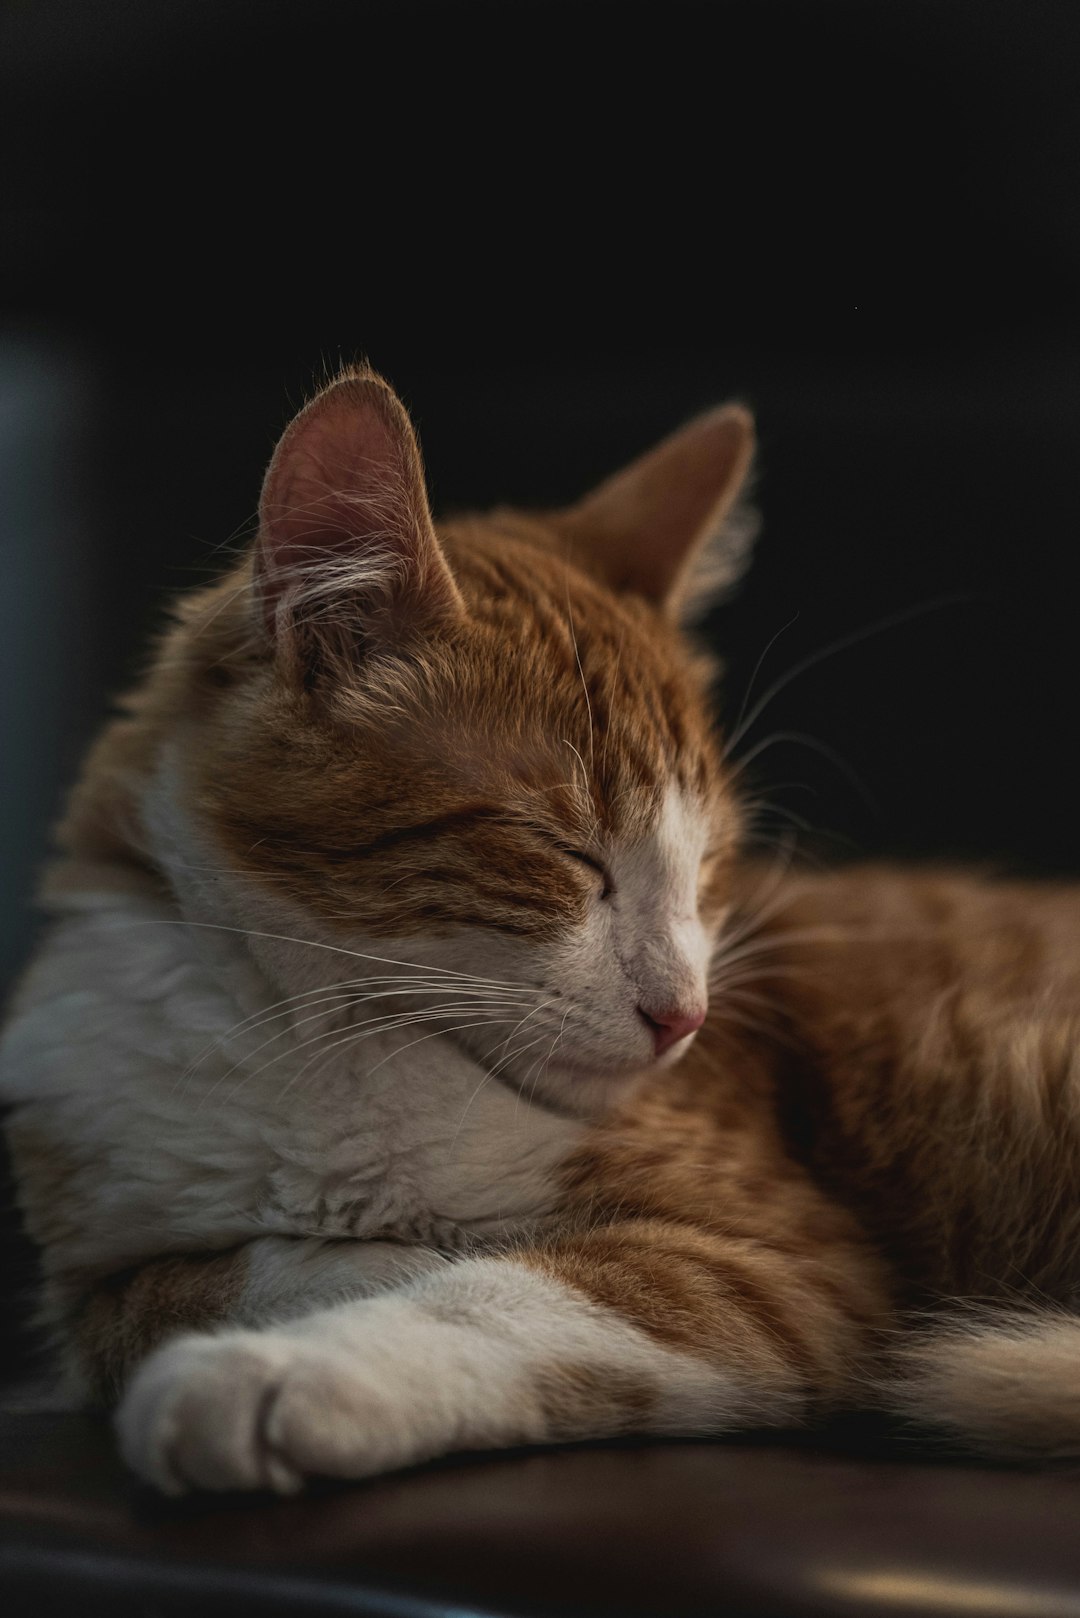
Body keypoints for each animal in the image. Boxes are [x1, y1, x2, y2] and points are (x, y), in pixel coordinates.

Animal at [2, 364, 1080, 1488]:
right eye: (565, 852)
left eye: (707, 863)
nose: (685, 1016)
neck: (307, 1038)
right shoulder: (91, 1279)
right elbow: (188, 1285)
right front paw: (361, 1261)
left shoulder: (784, 1257)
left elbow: (504, 1291)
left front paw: (274, 1372)